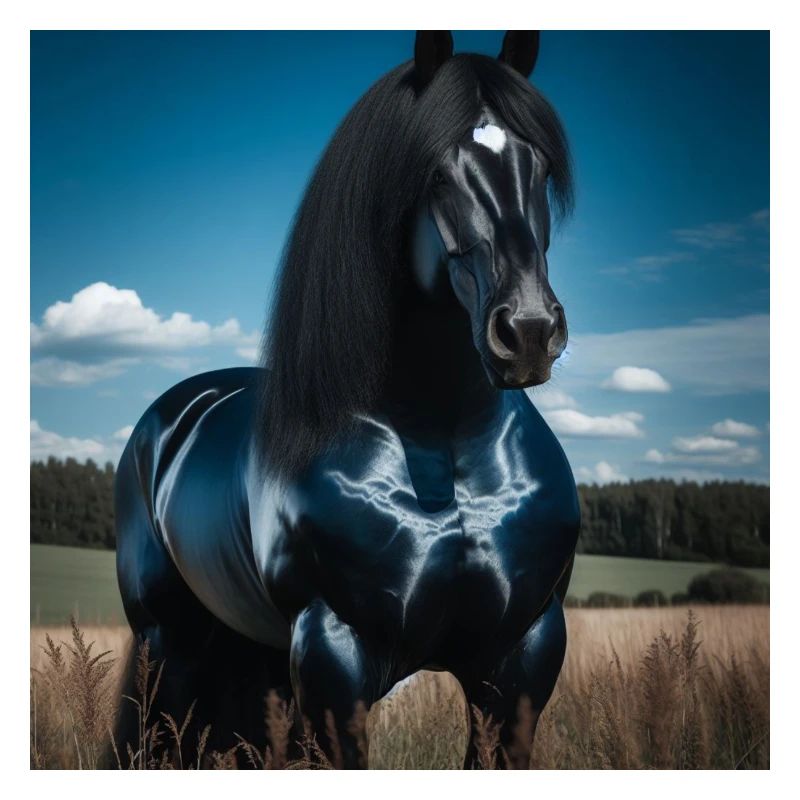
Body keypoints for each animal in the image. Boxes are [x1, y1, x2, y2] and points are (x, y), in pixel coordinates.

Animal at [113, 30, 580, 769]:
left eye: (536, 164)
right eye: (434, 170)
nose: (529, 330)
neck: (446, 446)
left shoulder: (522, 658)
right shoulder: (336, 657)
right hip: (170, 649)